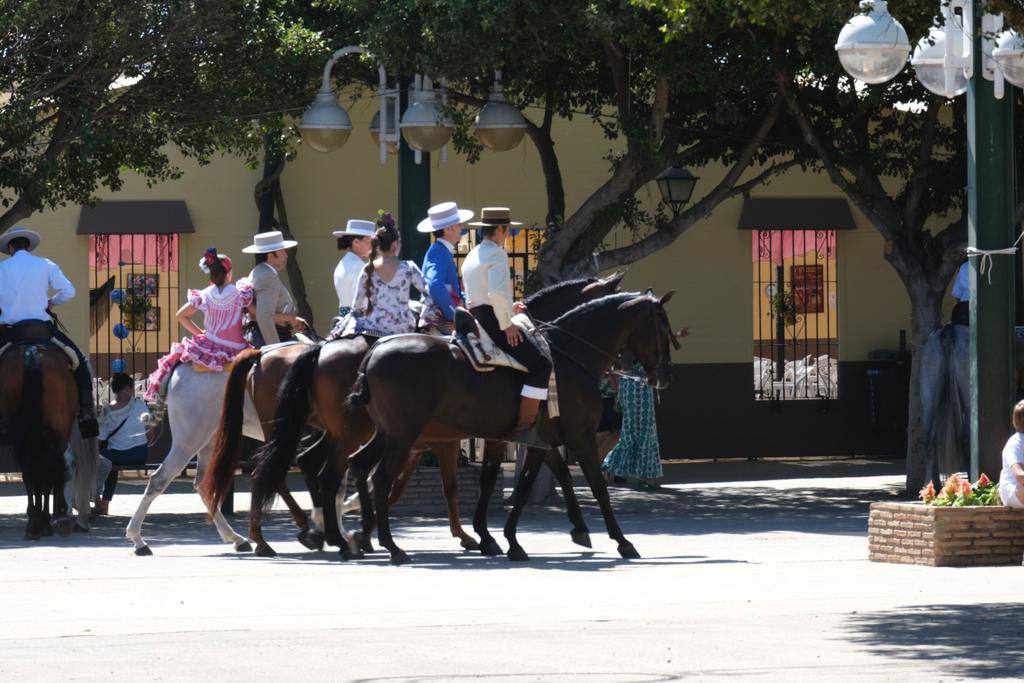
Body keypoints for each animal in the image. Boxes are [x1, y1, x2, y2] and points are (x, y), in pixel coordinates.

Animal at [0, 339, 94, 536]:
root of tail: (33, 352)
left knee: (32, 468)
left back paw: (37, 521)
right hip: (56, 431)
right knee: (47, 467)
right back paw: (46, 519)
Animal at [207, 274, 622, 557]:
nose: (617, 381)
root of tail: (267, 353)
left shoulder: (446, 441)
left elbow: (449, 484)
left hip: (328, 430)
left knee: (303, 466)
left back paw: (312, 532)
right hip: (328, 431)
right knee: (290, 471)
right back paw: (299, 535)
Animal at [348, 290, 675, 565]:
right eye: (663, 329)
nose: (665, 377)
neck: (568, 357)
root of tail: (373, 352)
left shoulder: (535, 441)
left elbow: (516, 483)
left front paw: (502, 540)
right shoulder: (579, 438)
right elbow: (592, 487)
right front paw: (622, 541)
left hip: (387, 434)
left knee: (360, 464)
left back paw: (361, 538)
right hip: (403, 436)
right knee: (382, 478)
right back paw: (391, 546)